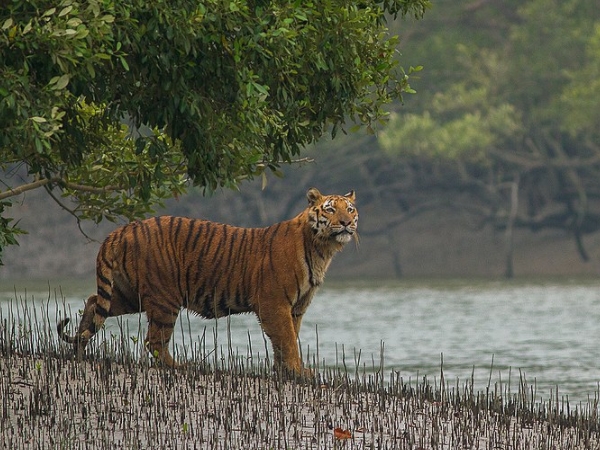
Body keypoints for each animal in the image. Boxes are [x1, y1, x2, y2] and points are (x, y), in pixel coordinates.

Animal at [57, 187, 356, 376]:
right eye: (330, 210)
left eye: (351, 210)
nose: (345, 222)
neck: (322, 249)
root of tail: (121, 230)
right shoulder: (274, 304)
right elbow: (287, 340)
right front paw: (298, 372)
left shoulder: (296, 307)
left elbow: (288, 338)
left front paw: (286, 371)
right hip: (164, 297)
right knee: (154, 341)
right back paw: (179, 367)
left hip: (129, 294)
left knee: (93, 302)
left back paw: (79, 351)